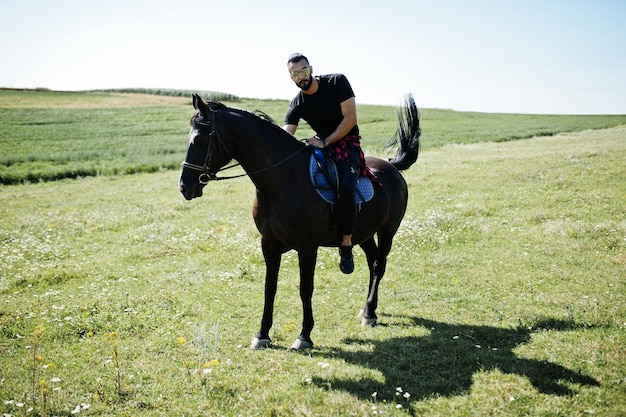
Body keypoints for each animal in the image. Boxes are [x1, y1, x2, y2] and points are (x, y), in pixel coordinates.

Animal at [178, 93, 420, 348]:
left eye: (199, 140)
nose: (184, 186)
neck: (282, 180)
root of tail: (391, 167)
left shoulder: (307, 247)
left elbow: (306, 289)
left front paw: (304, 336)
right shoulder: (269, 244)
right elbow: (269, 287)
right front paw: (262, 334)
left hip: (387, 231)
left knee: (378, 265)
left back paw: (371, 313)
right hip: (364, 233)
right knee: (372, 261)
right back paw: (366, 310)